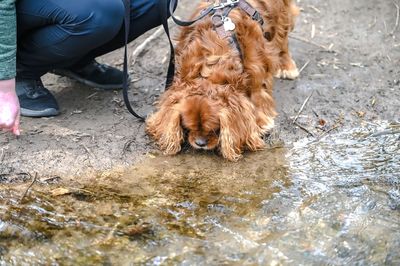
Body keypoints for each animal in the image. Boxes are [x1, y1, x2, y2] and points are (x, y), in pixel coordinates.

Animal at [145, 0, 298, 161]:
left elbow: (259, 95)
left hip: (281, 14)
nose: (200, 143)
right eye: (188, 127)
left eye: (214, 128)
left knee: (282, 38)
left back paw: (287, 66)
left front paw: (261, 122)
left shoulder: (257, 71)